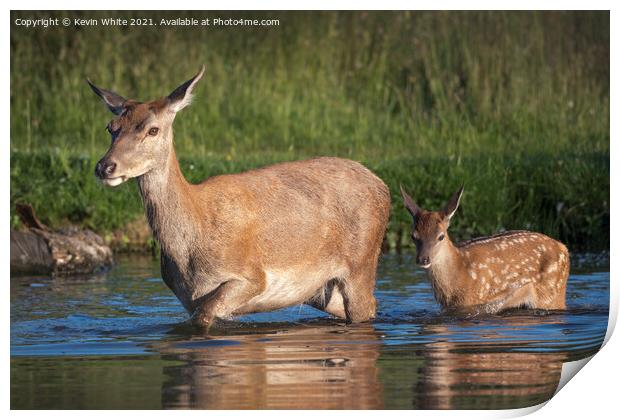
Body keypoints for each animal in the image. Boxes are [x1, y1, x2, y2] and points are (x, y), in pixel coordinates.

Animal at [88, 66, 388, 328]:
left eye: (152, 129)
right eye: (110, 127)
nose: (105, 166)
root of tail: (382, 186)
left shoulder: (252, 277)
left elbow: (204, 318)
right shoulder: (188, 297)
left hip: (362, 260)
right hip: (320, 289)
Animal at [400, 185, 568, 314]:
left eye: (440, 236)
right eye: (413, 236)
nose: (423, 259)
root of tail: (564, 248)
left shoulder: (471, 302)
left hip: (551, 293)